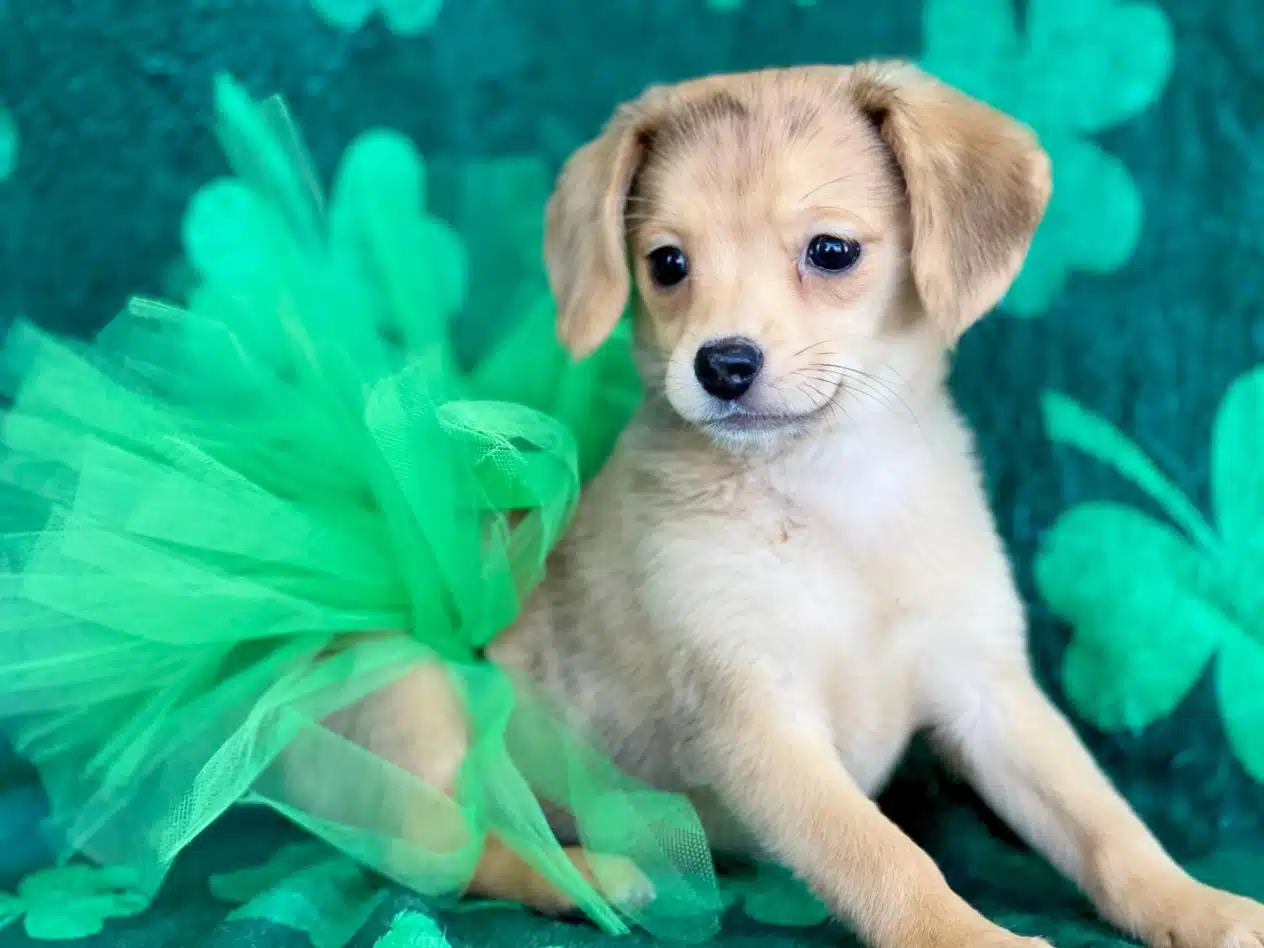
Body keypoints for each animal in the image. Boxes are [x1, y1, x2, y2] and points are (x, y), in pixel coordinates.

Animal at [328, 62, 1264, 947]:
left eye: (832, 251)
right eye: (667, 264)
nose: (722, 364)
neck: (833, 490)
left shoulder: (990, 694)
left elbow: (1104, 824)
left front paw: (1195, 905)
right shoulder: (758, 721)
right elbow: (883, 855)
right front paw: (964, 936)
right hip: (419, 709)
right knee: (460, 855)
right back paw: (589, 880)